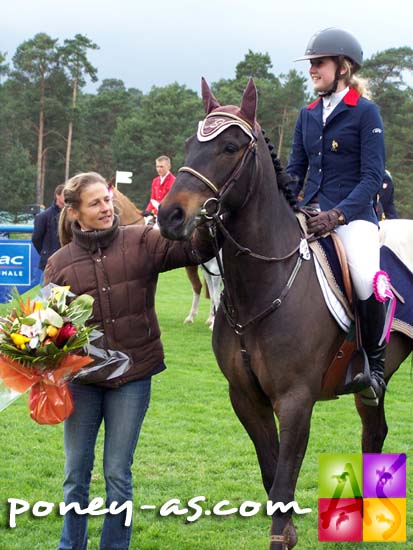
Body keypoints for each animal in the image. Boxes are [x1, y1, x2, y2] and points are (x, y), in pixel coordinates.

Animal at [155, 78, 412, 550]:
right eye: (189, 145)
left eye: (231, 147)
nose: (171, 215)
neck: (264, 286)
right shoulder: (246, 398)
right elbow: (272, 476)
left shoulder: (295, 401)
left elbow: (282, 481)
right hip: (371, 388)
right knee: (374, 432)